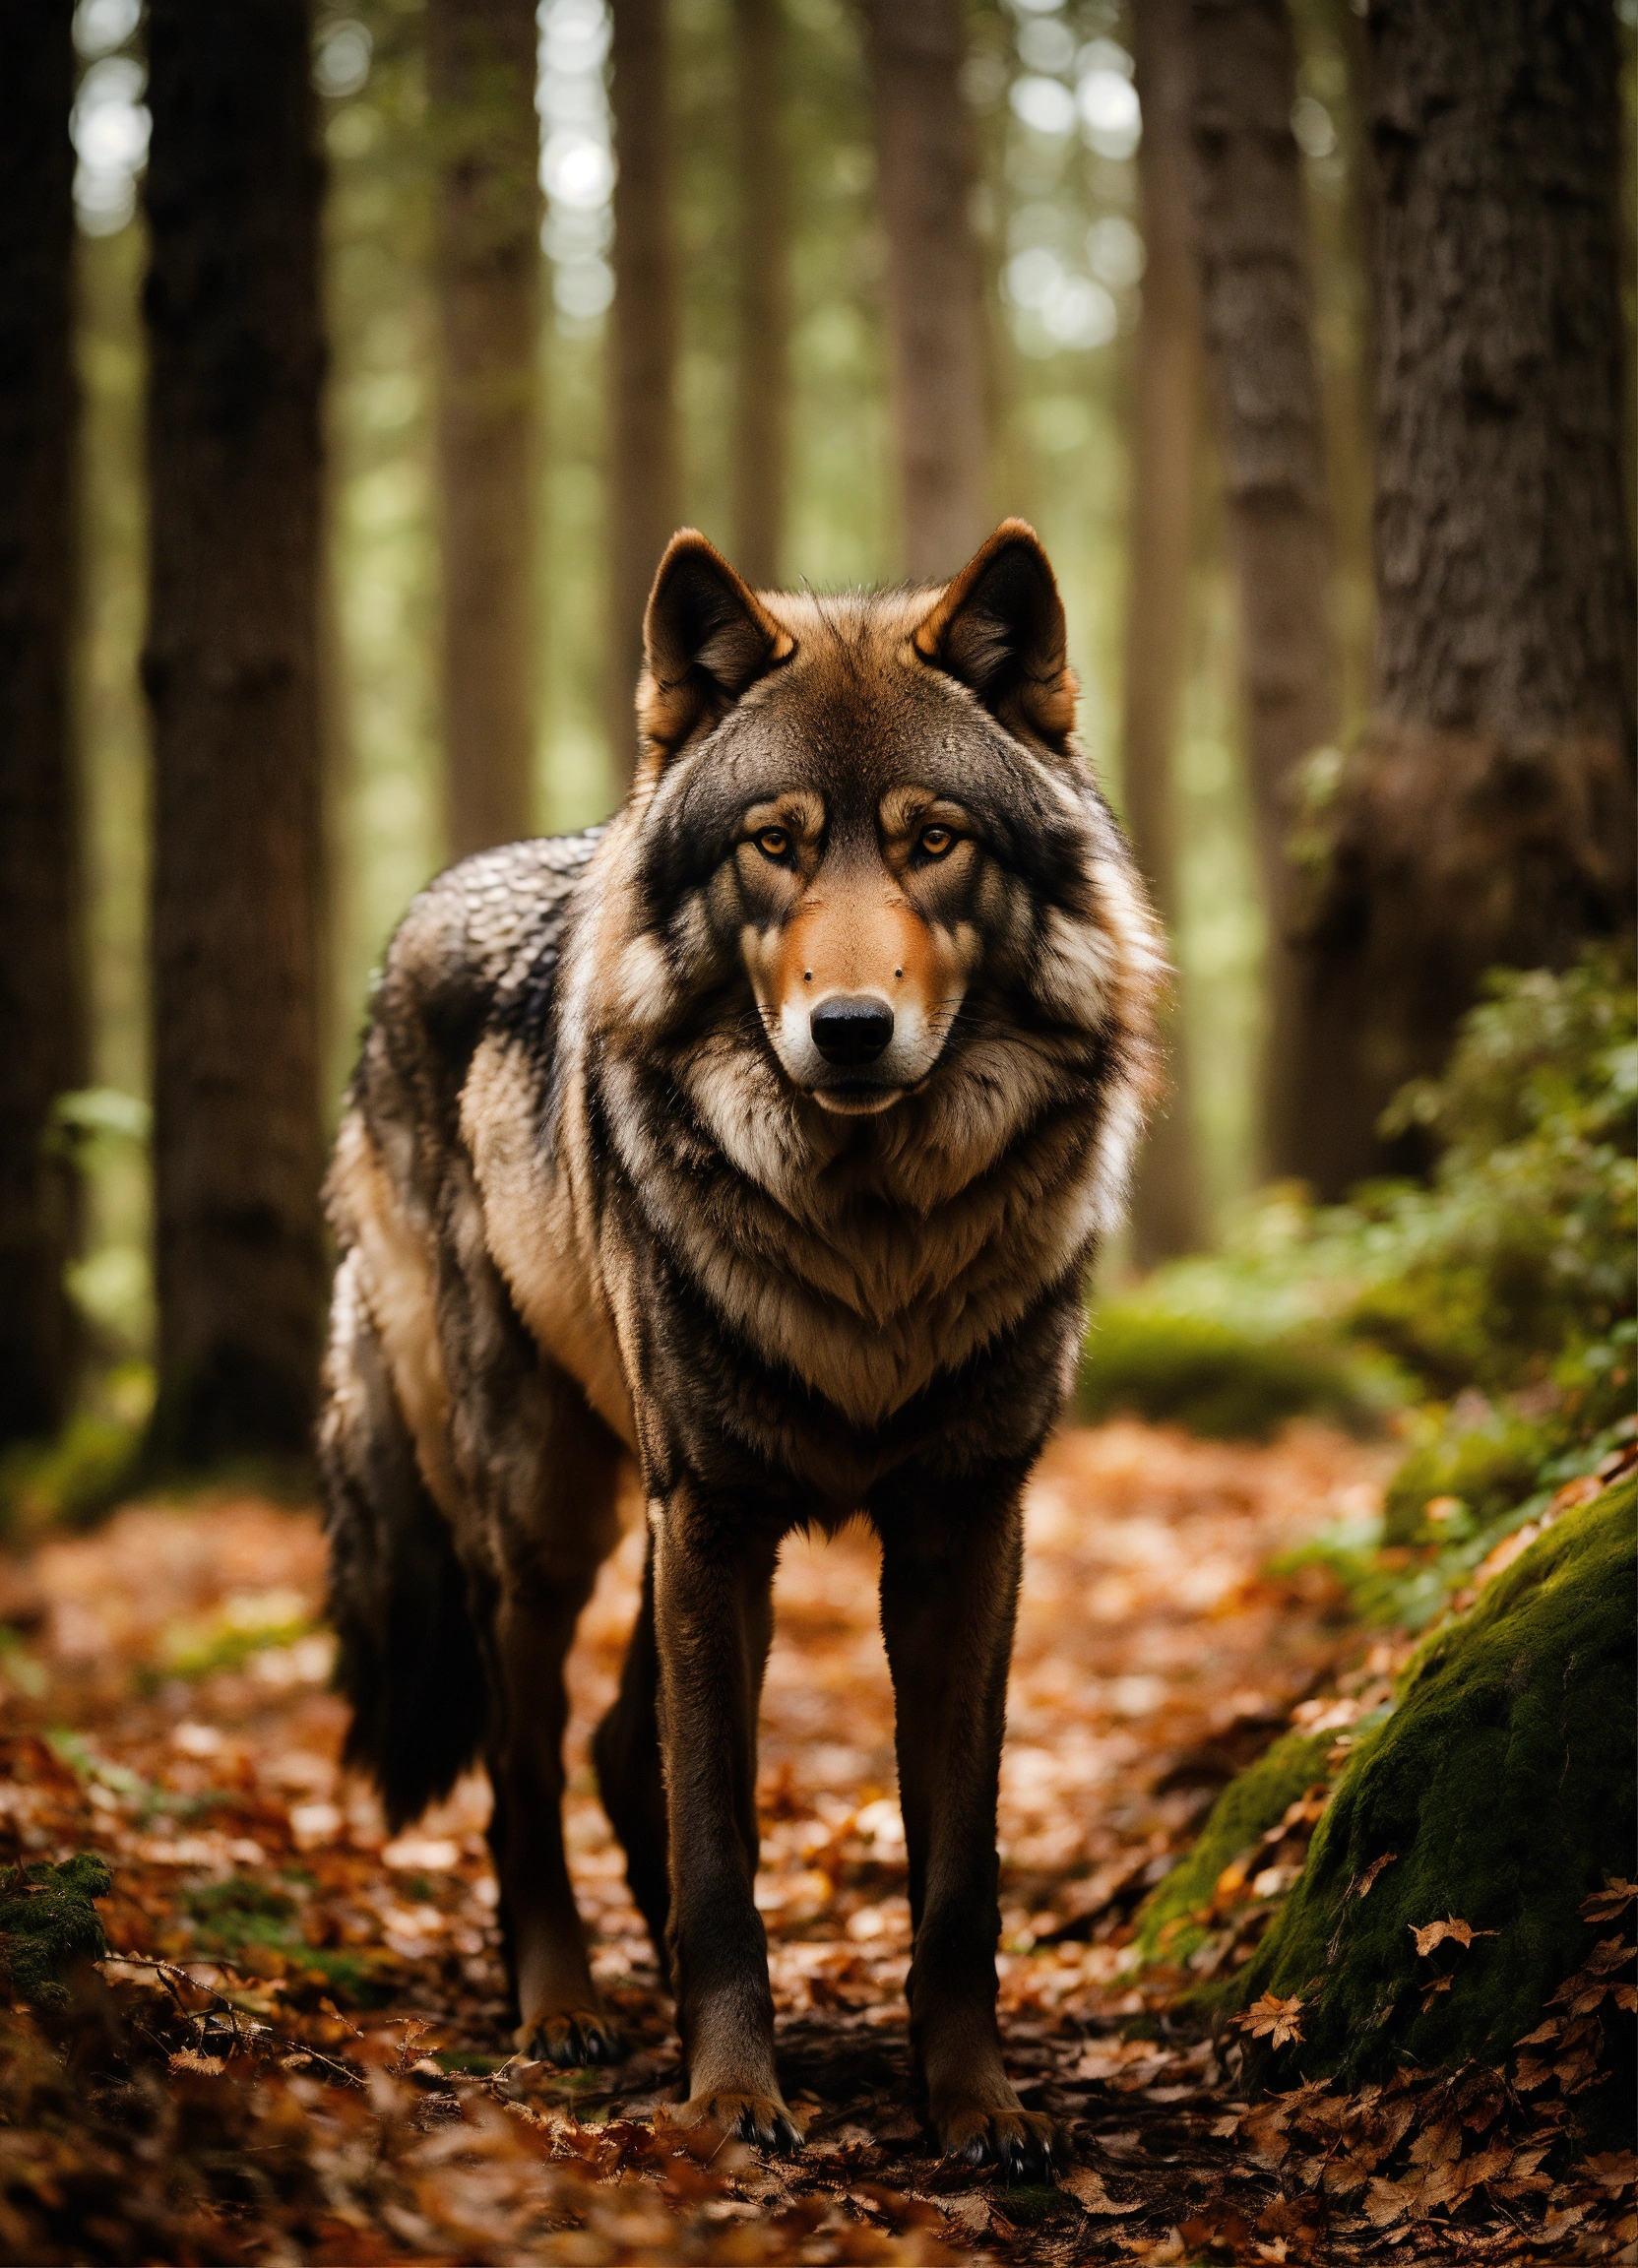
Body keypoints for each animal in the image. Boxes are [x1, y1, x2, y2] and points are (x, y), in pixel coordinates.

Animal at [320, 520, 1163, 2176]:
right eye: (774, 844)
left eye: (930, 840)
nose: (850, 1032)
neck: (872, 1241)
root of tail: (420, 917)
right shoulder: (709, 1519)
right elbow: (723, 1850)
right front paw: (728, 2098)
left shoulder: (964, 1529)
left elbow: (956, 1874)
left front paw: (975, 2104)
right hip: (558, 1518)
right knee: (526, 1765)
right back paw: (566, 2006)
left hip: (658, 1522)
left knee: (612, 1749)